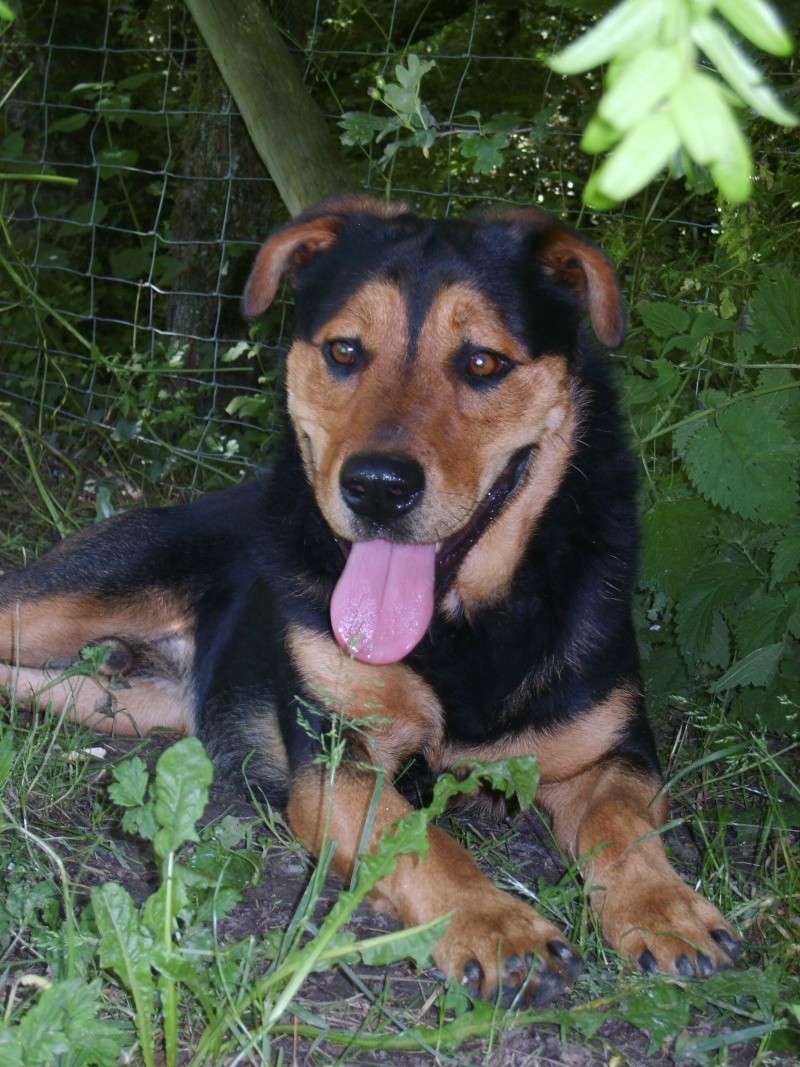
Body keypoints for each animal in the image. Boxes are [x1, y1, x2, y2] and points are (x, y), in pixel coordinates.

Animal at [0, 196, 742, 1002]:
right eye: (346, 351)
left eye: (482, 362)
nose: (377, 487)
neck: (459, 628)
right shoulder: (337, 760)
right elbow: (419, 834)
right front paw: (497, 925)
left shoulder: (613, 753)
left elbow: (622, 825)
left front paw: (664, 909)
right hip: (64, 602)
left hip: (114, 702)